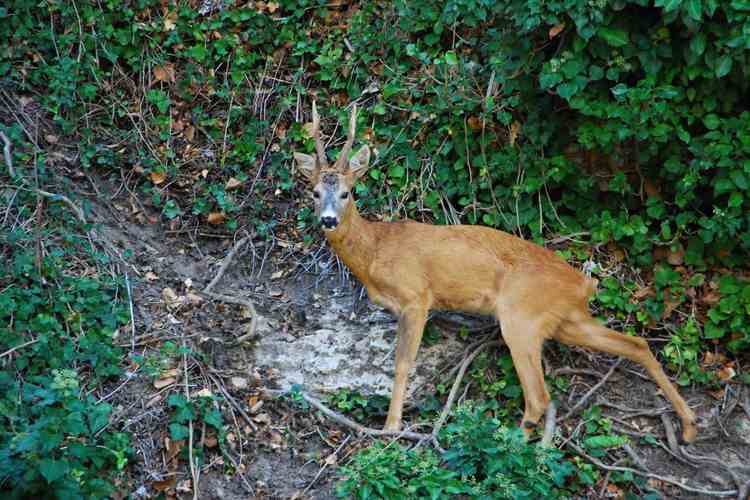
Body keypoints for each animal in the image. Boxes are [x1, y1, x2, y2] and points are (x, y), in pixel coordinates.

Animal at [294, 101, 700, 442]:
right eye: (314, 192)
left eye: (347, 192)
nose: (328, 220)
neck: (376, 251)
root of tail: (583, 284)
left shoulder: (416, 297)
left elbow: (402, 362)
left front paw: (391, 428)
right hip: (567, 321)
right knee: (636, 344)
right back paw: (689, 425)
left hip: (520, 317)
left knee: (538, 397)